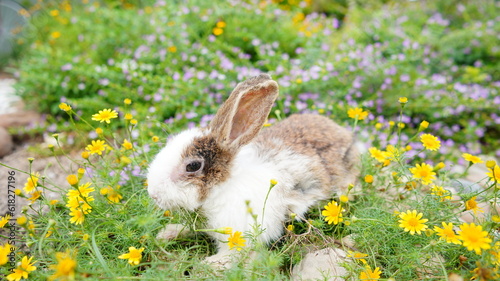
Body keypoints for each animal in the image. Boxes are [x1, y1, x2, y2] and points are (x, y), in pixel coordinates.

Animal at [146, 73, 358, 266]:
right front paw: (166, 234)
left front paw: (208, 264)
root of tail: (343, 133)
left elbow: (231, 253)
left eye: (193, 166)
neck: (223, 187)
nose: (153, 194)